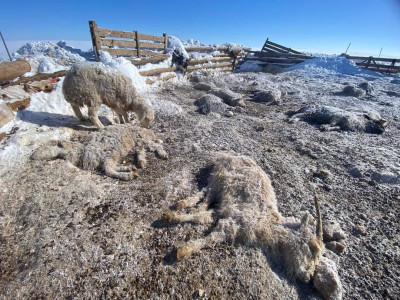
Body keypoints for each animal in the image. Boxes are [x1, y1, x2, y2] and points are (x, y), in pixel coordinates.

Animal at [162, 154, 340, 298]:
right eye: (311, 248)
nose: (307, 277)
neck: (269, 222)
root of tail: (227, 155)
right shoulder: (235, 220)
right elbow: (209, 233)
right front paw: (182, 246)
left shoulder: (229, 217)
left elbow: (205, 219)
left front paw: (179, 226)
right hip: (220, 178)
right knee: (207, 193)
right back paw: (187, 205)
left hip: (219, 181)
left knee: (206, 194)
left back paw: (188, 205)